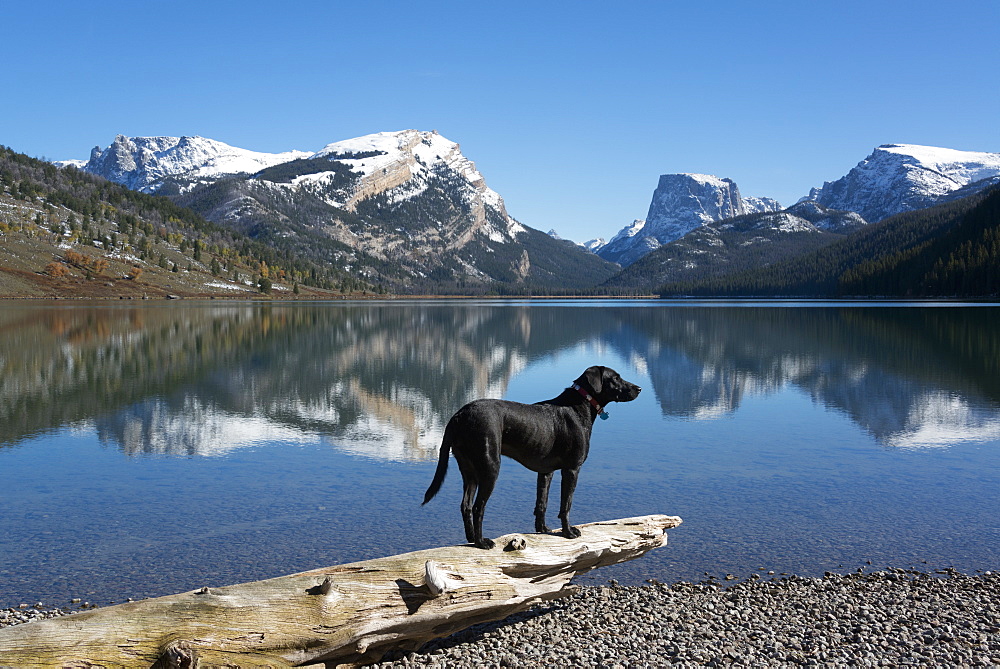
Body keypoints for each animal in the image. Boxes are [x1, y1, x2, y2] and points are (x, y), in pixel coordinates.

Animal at [422, 366, 640, 548]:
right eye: (615, 378)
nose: (639, 388)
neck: (579, 406)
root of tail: (459, 415)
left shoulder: (546, 472)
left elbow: (541, 503)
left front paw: (542, 529)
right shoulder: (571, 469)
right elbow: (566, 505)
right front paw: (568, 532)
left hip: (470, 470)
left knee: (466, 506)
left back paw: (471, 539)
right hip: (490, 468)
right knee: (477, 508)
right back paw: (481, 542)